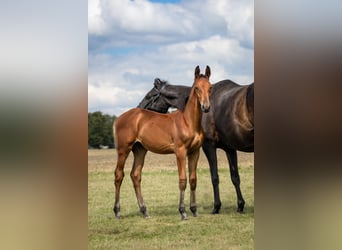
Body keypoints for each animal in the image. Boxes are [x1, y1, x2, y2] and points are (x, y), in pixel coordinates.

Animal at [113, 65, 212, 220]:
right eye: (196, 87)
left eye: (210, 87)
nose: (206, 107)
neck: (188, 121)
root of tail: (119, 118)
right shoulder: (180, 152)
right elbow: (182, 180)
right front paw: (183, 212)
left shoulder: (195, 152)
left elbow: (193, 180)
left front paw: (194, 210)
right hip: (123, 149)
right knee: (119, 175)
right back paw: (117, 212)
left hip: (140, 150)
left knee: (135, 175)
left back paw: (144, 211)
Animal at [137, 78, 254, 213]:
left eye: (149, 96)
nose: (138, 109)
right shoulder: (230, 148)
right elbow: (235, 177)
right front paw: (240, 205)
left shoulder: (208, 145)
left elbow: (214, 177)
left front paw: (216, 207)